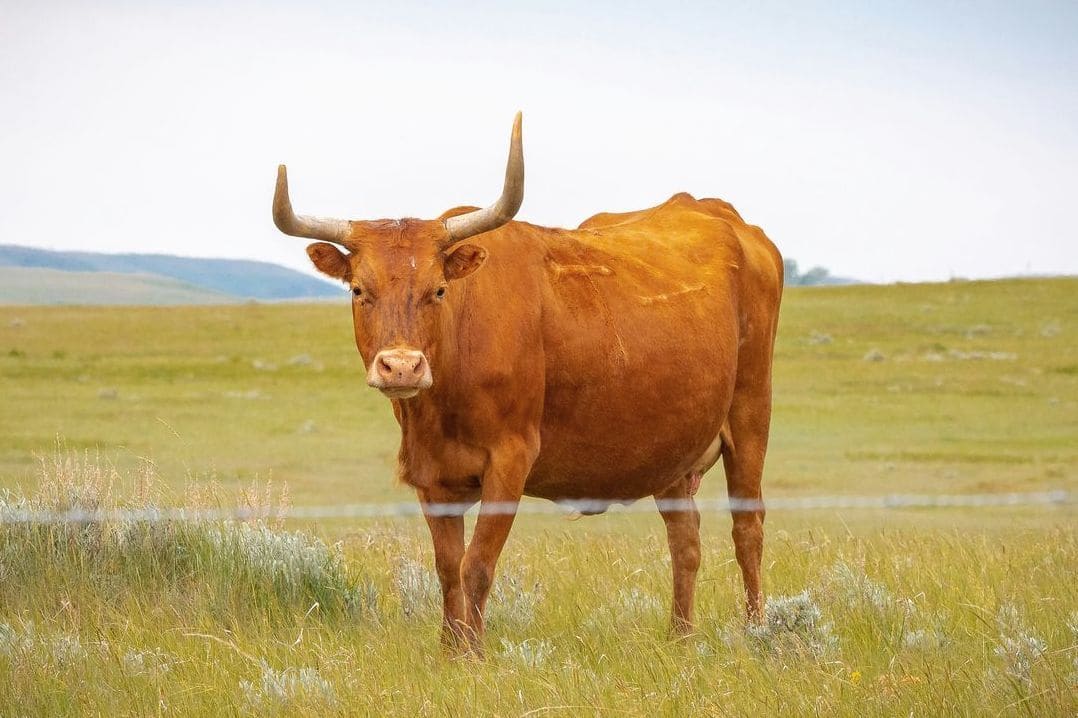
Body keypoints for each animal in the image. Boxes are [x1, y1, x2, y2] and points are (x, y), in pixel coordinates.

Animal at [272, 113, 783, 653]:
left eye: (438, 290)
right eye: (358, 290)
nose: (402, 366)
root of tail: (718, 213)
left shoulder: (510, 459)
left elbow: (477, 566)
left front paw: (473, 654)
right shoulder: (431, 475)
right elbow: (447, 569)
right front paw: (450, 649)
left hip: (751, 415)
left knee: (748, 527)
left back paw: (756, 630)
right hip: (672, 450)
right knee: (685, 540)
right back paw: (680, 636)